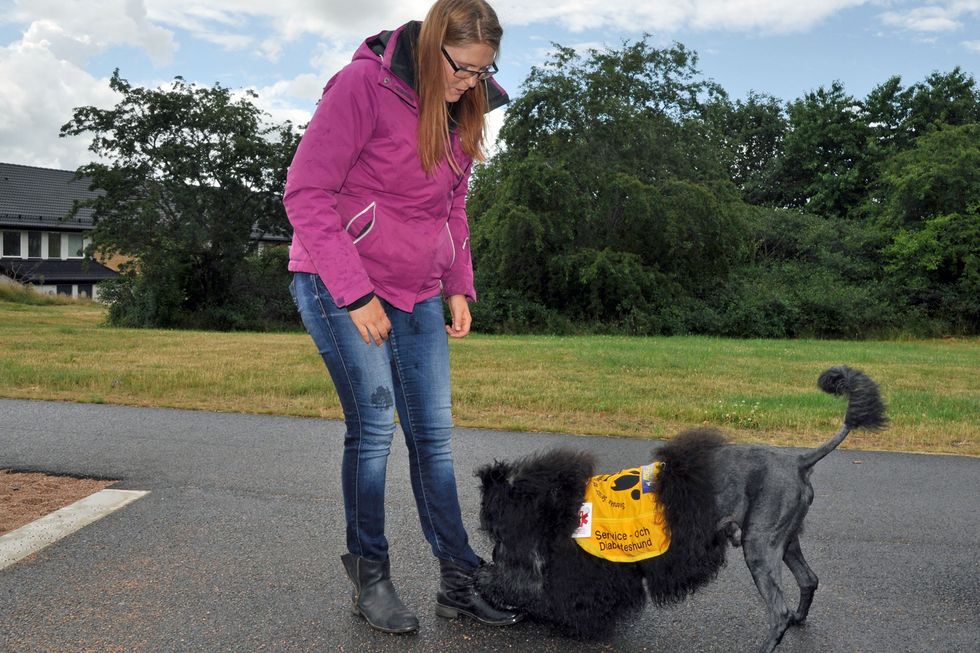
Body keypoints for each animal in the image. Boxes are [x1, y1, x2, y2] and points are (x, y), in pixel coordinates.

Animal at [474, 364, 888, 648]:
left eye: (495, 522)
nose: (490, 555)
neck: (555, 505)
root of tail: (799, 460)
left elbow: (552, 593)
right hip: (784, 540)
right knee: (808, 580)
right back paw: (800, 619)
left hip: (760, 547)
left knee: (778, 612)